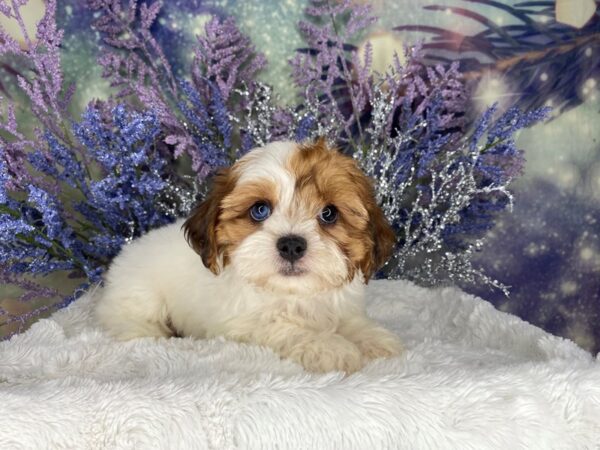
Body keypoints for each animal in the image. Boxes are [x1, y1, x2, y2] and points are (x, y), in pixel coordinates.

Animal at [95, 140, 404, 372]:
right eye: (260, 210)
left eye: (328, 214)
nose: (291, 245)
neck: (293, 294)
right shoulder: (240, 325)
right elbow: (284, 329)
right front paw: (329, 347)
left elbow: (348, 320)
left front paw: (372, 338)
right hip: (140, 295)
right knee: (126, 318)